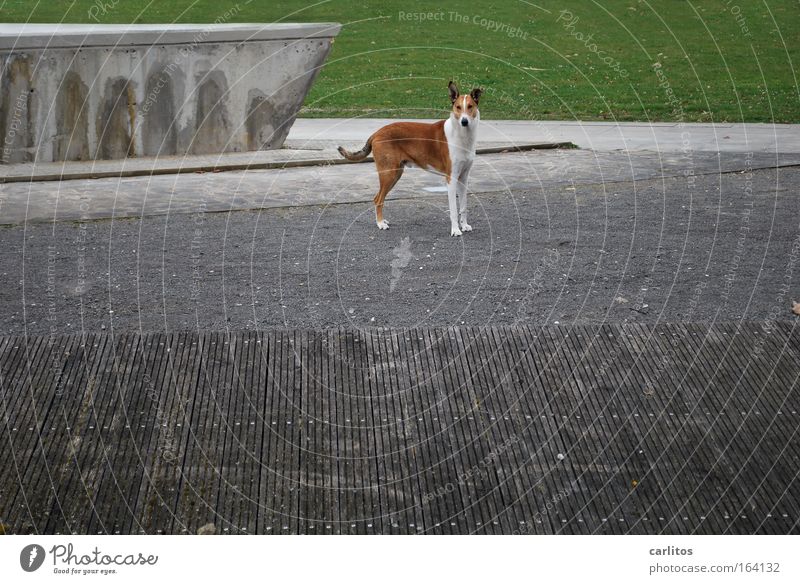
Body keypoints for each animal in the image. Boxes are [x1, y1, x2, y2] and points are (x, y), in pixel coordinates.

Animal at [338, 81, 482, 236]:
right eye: (458, 107)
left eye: (470, 106)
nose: (464, 121)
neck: (462, 135)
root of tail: (376, 133)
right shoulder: (451, 178)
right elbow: (454, 209)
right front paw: (455, 230)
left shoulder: (463, 177)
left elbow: (463, 206)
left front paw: (464, 226)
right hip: (389, 173)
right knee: (378, 199)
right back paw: (380, 224)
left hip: (396, 173)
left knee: (379, 198)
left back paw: (382, 221)